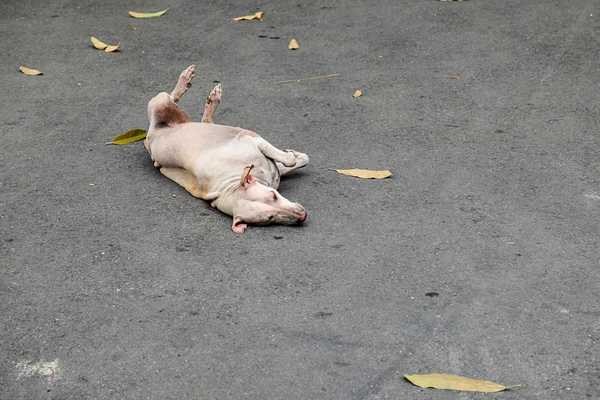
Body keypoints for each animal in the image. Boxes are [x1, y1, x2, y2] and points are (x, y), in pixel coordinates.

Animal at [142, 65, 308, 234]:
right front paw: (292, 155)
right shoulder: (251, 143)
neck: (232, 185)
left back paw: (203, 92)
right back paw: (188, 83)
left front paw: (291, 154)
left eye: (273, 196)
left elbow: (295, 159)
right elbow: (295, 160)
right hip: (162, 105)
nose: (302, 216)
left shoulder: (250, 141)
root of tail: (150, 137)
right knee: (172, 98)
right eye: (269, 219)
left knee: (188, 109)